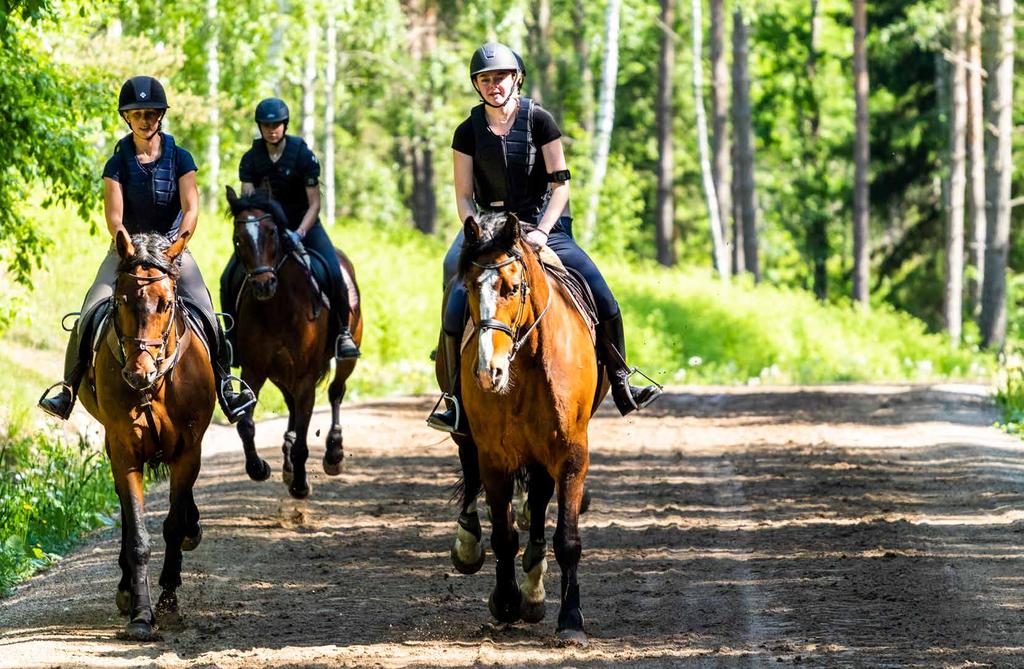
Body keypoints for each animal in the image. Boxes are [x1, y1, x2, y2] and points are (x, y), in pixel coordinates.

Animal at [78, 230, 217, 643]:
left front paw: (169, 602)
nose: (138, 374)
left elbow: (172, 525)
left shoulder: (188, 451)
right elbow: (138, 536)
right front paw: (142, 614)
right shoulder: (124, 450)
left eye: (166, 303)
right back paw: (126, 590)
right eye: (121, 301)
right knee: (127, 518)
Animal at [226, 185, 362, 497]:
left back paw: (333, 453)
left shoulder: (305, 377)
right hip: (279, 372)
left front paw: (300, 485)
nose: (263, 285)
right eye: (238, 239)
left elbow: (303, 434)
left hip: (346, 355)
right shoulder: (255, 370)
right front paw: (259, 468)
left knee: (336, 391)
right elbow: (246, 425)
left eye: (272, 232)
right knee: (290, 404)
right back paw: (287, 461)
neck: (279, 308)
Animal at [444, 211, 602, 643]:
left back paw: (534, 584)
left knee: (539, 499)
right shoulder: (494, 456)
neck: (528, 361)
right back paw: (470, 545)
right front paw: (505, 601)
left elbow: (567, 538)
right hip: (470, 436)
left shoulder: (571, 454)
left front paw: (570, 619)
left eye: (512, 288)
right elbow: (503, 534)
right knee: (470, 471)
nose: (488, 373)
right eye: (469, 287)